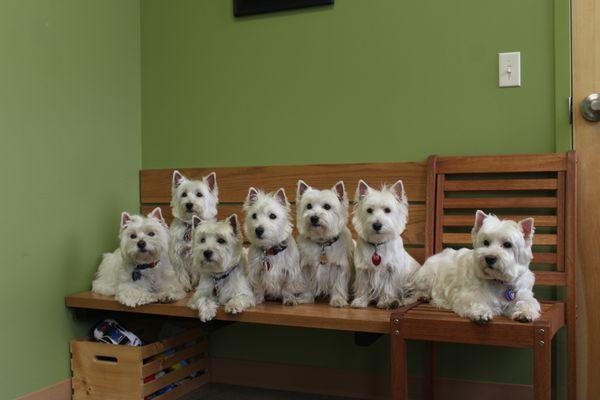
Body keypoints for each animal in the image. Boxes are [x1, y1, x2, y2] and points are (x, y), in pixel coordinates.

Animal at [296, 180, 354, 308]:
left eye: (327, 206)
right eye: (309, 206)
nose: (314, 218)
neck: (322, 242)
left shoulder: (339, 266)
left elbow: (338, 284)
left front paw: (338, 300)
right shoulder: (306, 267)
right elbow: (306, 283)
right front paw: (306, 298)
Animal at [352, 180, 418, 310]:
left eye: (388, 210)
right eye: (369, 210)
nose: (377, 225)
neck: (377, 244)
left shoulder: (391, 269)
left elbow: (388, 287)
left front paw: (385, 302)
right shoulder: (363, 269)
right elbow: (363, 287)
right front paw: (360, 301)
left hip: (412, 280)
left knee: (418, 294)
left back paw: (401, 301)